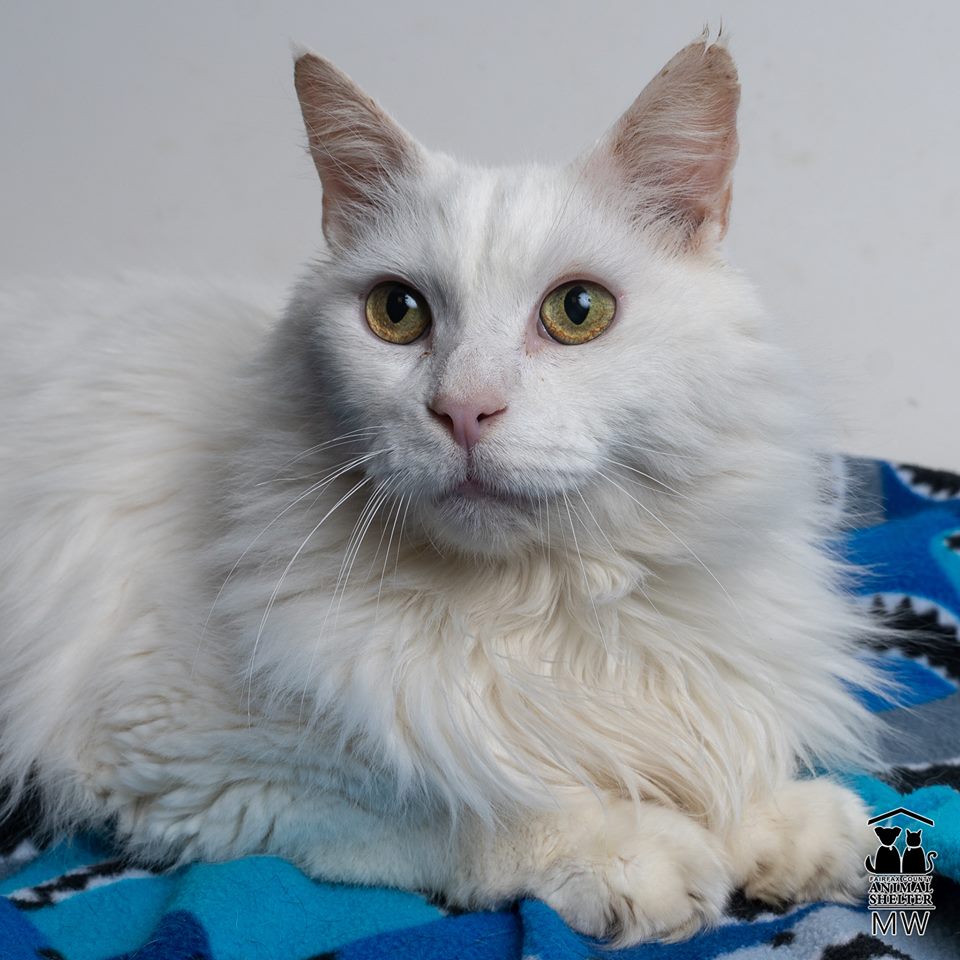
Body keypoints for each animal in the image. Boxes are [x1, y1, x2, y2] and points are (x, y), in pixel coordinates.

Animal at [0, 41, 880, 940]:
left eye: (579, 310)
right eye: (397, 312)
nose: (463, 410)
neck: (547, 605)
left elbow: (709, 752)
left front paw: (786, 826)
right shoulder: (188, 750)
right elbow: (474, 798)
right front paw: (641, 854)